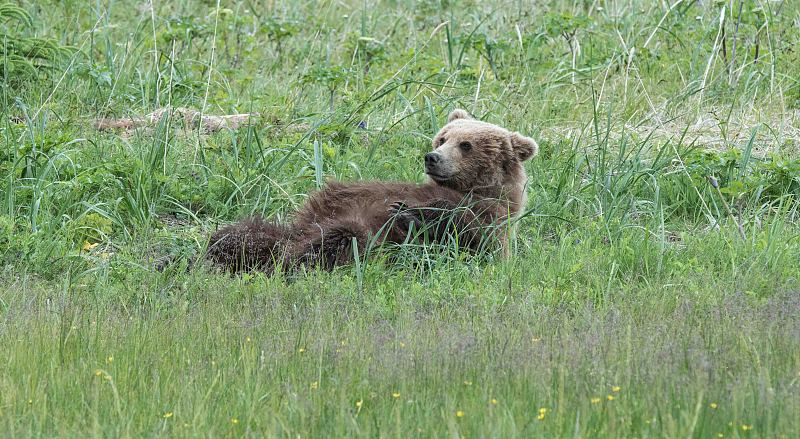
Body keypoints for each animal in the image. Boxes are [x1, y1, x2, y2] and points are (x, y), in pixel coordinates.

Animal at [205, 109, 536, 276]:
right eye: (443, 137)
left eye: (466, 145)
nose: (432, 157)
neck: (468, 190)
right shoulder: (343, 195)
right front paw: (406, 208)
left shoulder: (490, 221)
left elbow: (466, 240)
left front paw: (410, 213)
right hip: (291, 228)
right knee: (248, 232)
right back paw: (225, 250)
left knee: (342, 237)